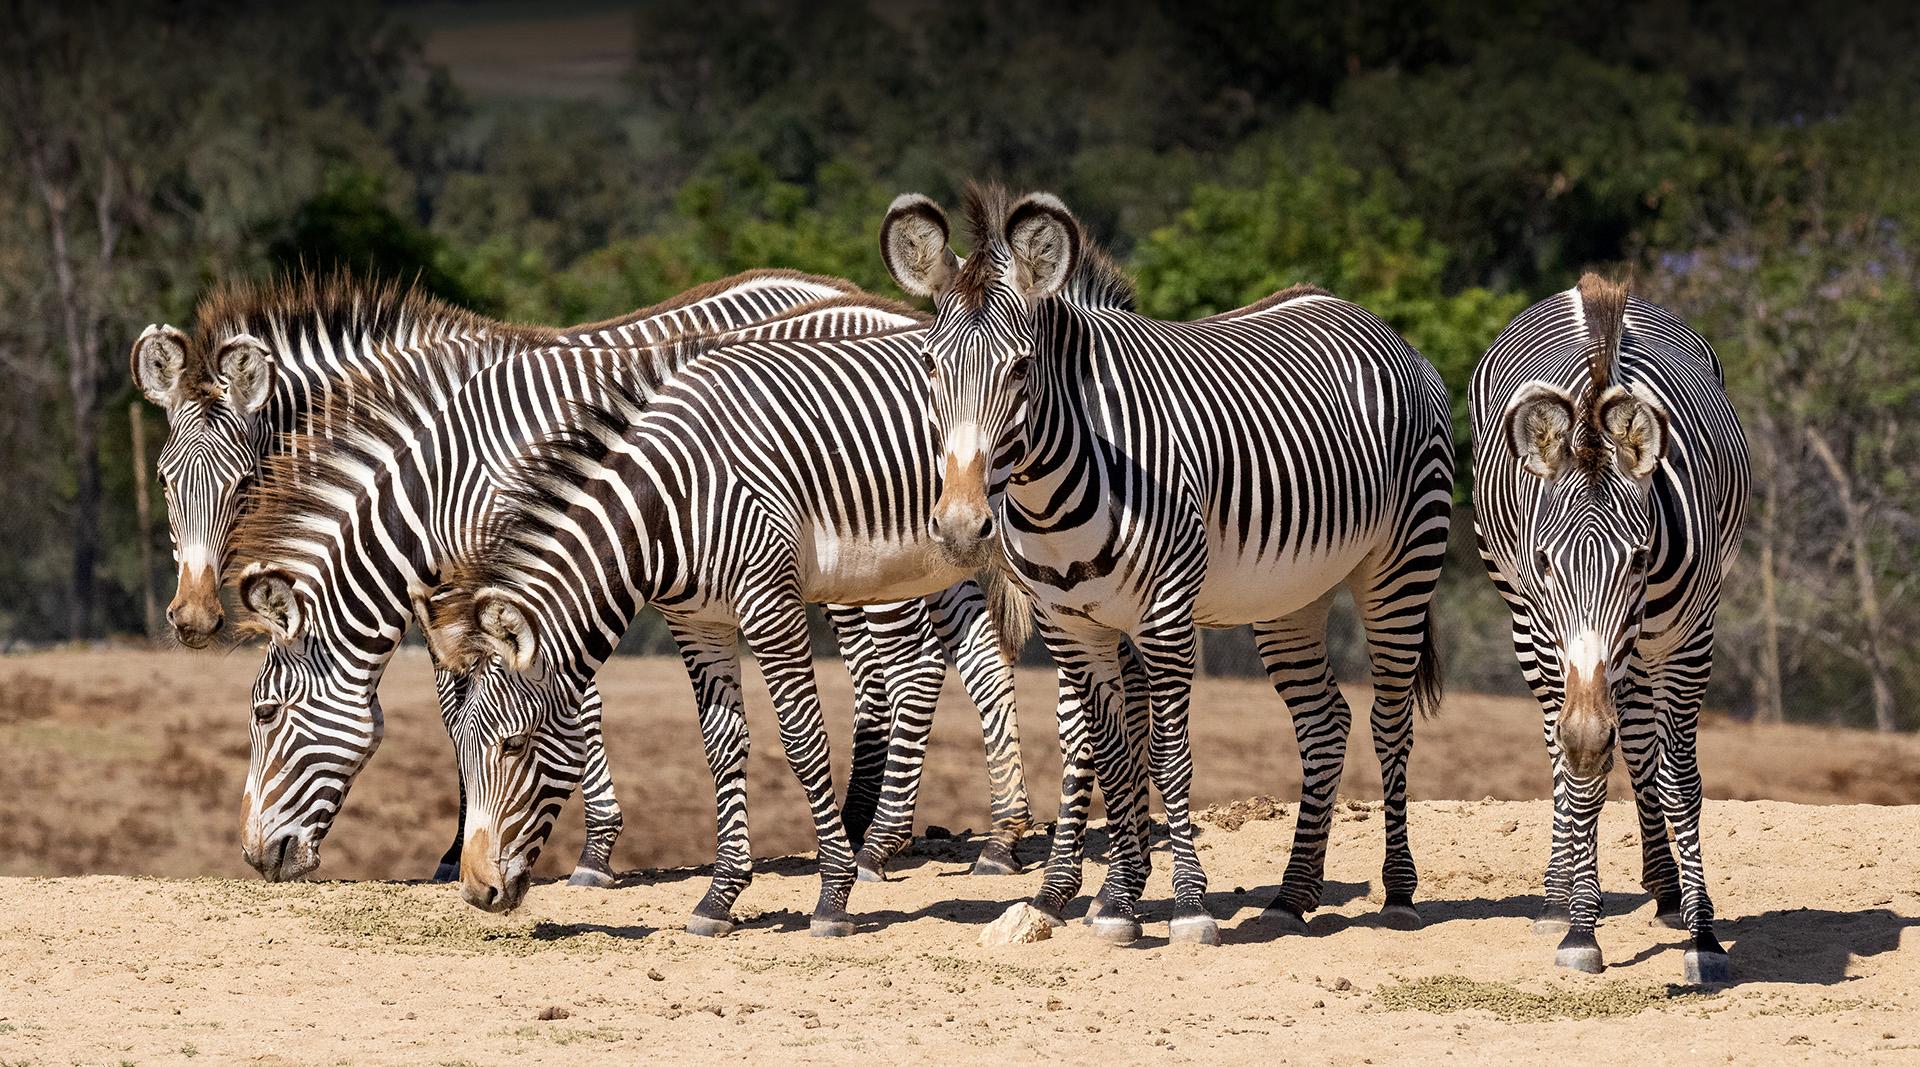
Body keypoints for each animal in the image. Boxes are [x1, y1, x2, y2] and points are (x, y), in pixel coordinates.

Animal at [127, 269, 878, 884]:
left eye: (243, 482)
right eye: (163, 479)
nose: (193, 618)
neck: (435, 459)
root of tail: (838, 287)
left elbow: (538, 702)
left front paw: (591, 851)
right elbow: (461, 705)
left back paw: (866, 843)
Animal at [221, 299, 1037, 916]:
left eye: (265, 713)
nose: (256, 858)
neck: (445, 475)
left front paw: (592, 851)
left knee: (913, 670)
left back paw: (879, 843)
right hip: (940, 557)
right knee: (977, 662)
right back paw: (998, 838)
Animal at [878, 185, 1454, 946]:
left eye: (1021, 368)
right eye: (931, 368)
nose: (960, 525)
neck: (1052, 489)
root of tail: (1367, 318)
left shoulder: (1165, 616)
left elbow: (1168, 754)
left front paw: (1186, 904)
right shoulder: (1072, 626)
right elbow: (1110, 752)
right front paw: (1111, 902)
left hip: (1401, 564)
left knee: (1391, 720)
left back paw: (1398, 892)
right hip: (1289, 596)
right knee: (1324, 722)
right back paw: (1291, 895)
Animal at [1470, 275, 1746, 983]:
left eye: (1641, 559)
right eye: (1546, 562)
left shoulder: (1690, 640)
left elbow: (1680, 780)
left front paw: (1704, 937)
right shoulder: (1554, 637)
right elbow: (1581, 770)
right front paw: (1578, 926)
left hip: (1647, 653)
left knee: (1646, 746)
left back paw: (1668, 890)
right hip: (1524, 621)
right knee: (1562, 746)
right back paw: (1557, 891)